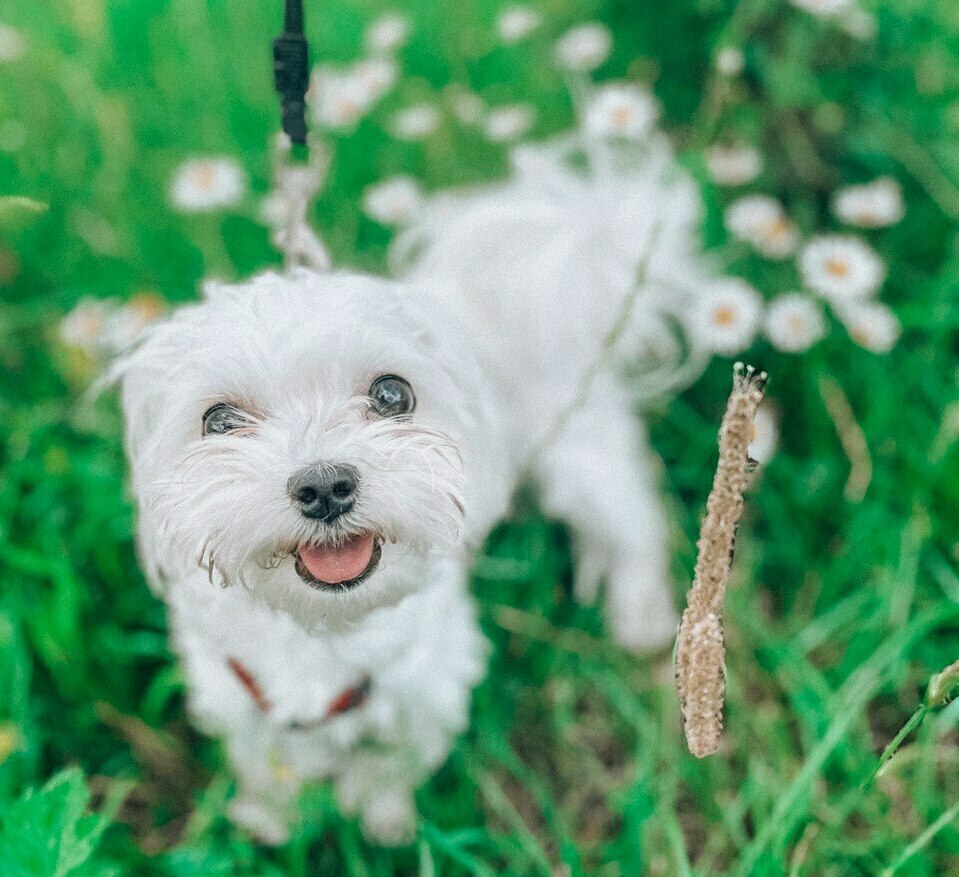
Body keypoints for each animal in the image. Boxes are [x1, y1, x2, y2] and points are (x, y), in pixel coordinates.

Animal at [116, 135, 696, 840]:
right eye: (220, 421)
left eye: (393, 394)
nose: (325, 486)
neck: (325, 635)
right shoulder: (236, 696)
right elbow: (263, 764)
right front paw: (271, 820)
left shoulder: (430, 689)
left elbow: (391, 765)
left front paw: (381, 819)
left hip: (583, 461)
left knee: (633, 524)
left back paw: (640, 617)